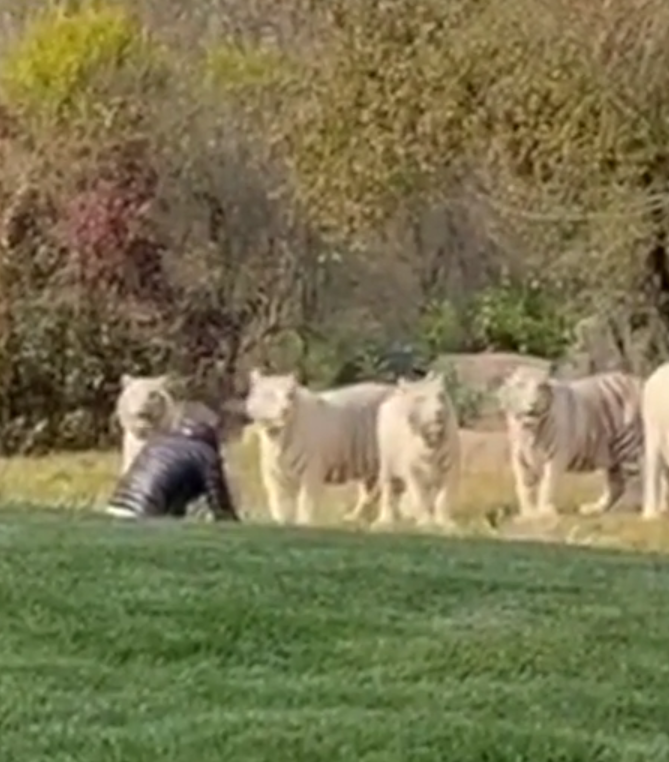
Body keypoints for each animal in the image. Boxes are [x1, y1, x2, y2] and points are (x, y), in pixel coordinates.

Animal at [244, 366, 392, 524]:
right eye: (270, 394)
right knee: (370, 492)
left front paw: (303, 523)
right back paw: (353, 518)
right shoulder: (273, 476)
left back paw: (383, 522)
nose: (285, 409)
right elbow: (279, 505)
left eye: (290, 395)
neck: (277, 436)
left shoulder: (311, 472)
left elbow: (305, 503)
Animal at [374, 370, 462, 528]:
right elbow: (418, 496)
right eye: (420, 398)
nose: (438, 412)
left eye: (440, 395)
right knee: (387, 486)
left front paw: (445, 523)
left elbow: (444, 496)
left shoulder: (451, 466)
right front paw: (425, 522)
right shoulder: (412, 468)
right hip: (386, 461)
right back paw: (385, 520)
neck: (431, 440)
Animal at [496, 366, 640, 516]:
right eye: (521, 385)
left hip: (628, 445)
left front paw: (544, 512)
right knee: (617, 485)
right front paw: (528, 513)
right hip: (613, 456)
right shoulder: (519, 457)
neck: (529, 430)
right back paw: (595, 508)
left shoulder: (556, 455)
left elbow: (548, 484)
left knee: (636, 482)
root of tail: (637, 380)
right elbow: (524, 486)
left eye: (541, 386)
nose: (533, 403)